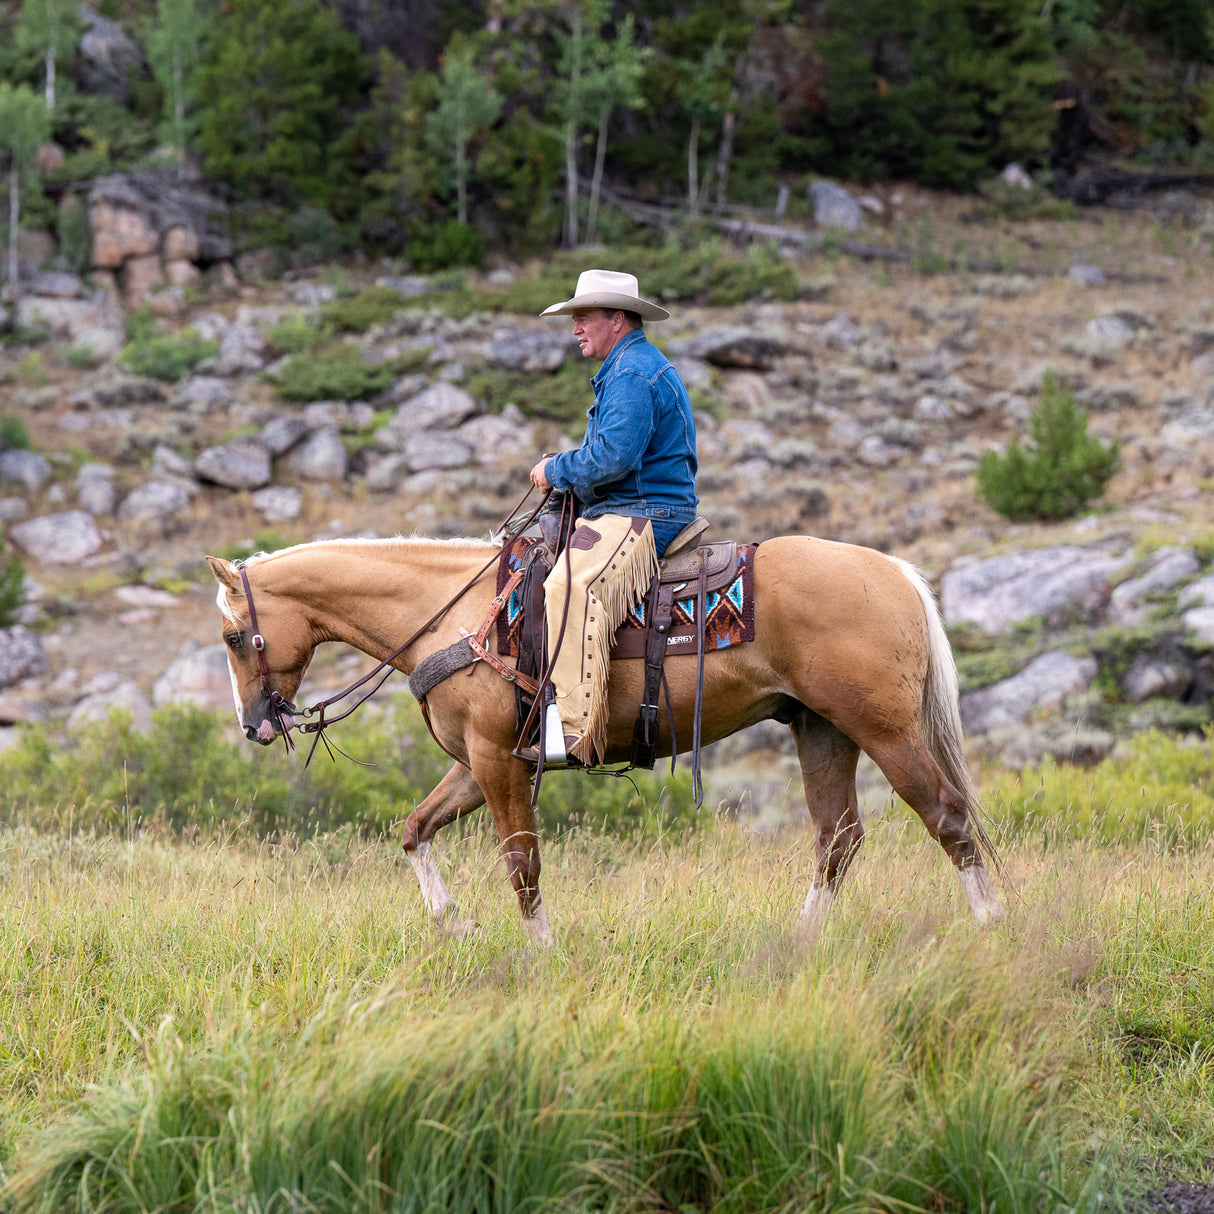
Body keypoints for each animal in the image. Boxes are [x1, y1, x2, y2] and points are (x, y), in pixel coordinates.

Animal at [208, 536, 1000, 942]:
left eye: (232, 637)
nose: (255, 725)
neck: (455, 614)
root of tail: (894, 573)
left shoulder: (497, 762)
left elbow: (522, 864)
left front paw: (540, 957)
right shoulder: (477, 764)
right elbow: (414, 829)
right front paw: (454, 924)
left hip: (884, 729)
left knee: (947, 816)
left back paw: (992, 924)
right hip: (822, 729)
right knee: (837, 837)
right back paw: (799, 946)